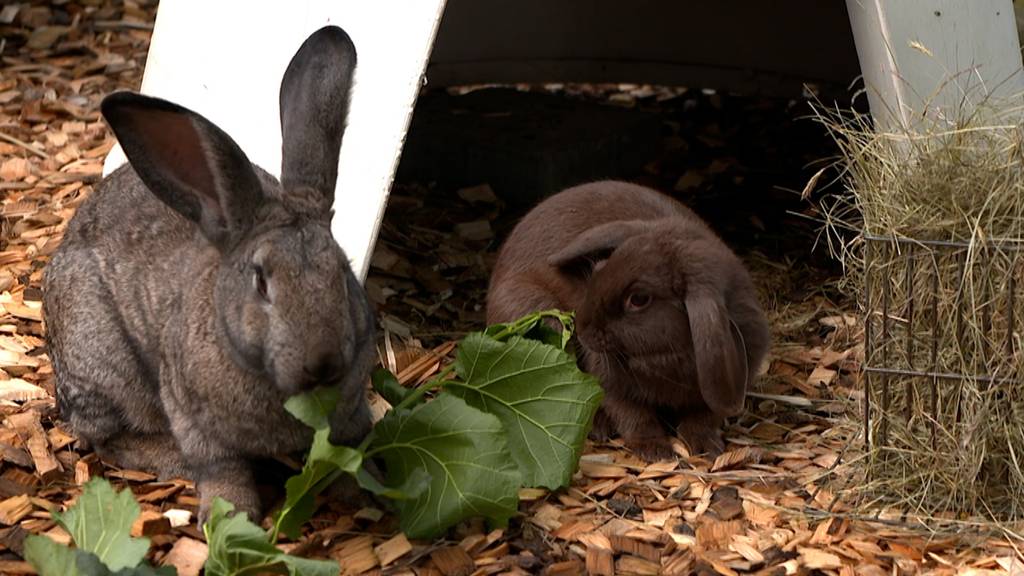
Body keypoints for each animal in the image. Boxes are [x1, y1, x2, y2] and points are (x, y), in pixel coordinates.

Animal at [43, 25, 376, 520]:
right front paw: (232, 515)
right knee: (109, 438)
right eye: (261, 281)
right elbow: (222, 468)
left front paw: (363, 492)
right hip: (102, 361)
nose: (324, 361)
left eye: (342, 270)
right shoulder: (193, 417)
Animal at [487, 179, 770, 457]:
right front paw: (654, 450)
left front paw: (705, 447)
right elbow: (633, 415)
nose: (582, 328)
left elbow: (702, 417)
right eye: (598, 267)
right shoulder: (611, 384)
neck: (664, 359)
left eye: (639, 299)